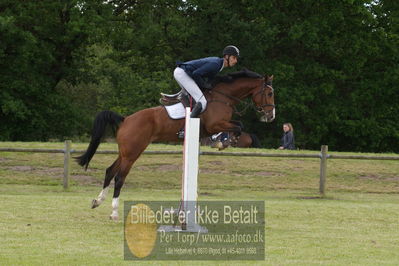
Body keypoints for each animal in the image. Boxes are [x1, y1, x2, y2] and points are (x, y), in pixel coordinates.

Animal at [75, 69, 276, 219]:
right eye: (269, 93)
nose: (271, 116)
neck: (223, 96)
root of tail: (125, 120)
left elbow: (238, 125)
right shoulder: (215, 125)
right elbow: (238, 126)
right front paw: (222, 142)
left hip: (125, 152)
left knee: (110, 171)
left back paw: (97, 201)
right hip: (133, 152)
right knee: (119, 177)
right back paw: (115, 212)